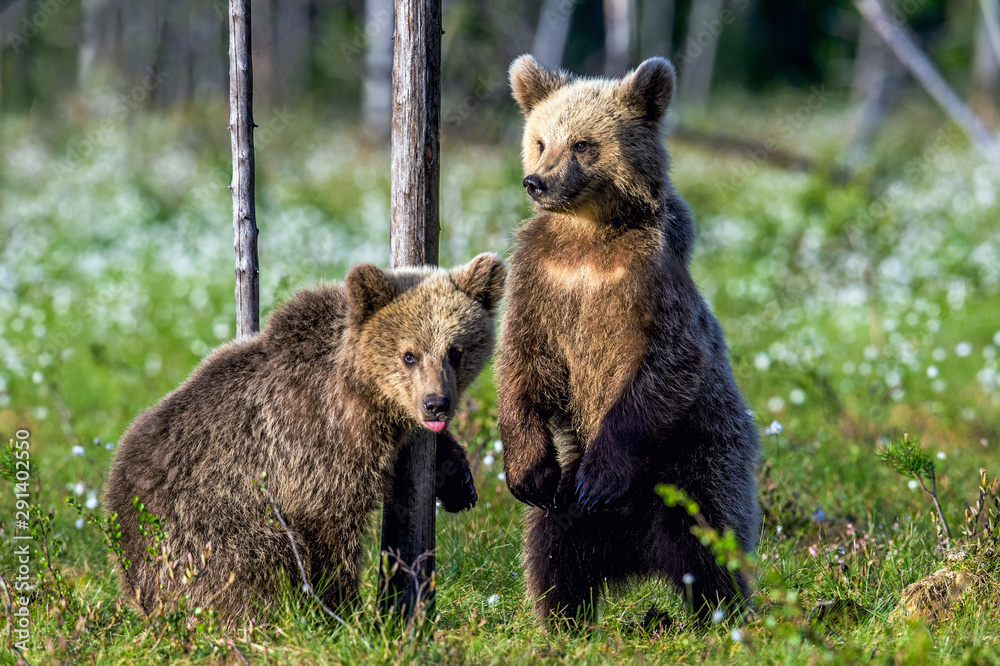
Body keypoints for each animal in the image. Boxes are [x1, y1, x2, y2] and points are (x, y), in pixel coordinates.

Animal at [104, 253, 506, 621]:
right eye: (409, 355)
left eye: (456, 351)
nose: (436, 404)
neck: (360, 395)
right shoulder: (313, 444)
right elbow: (332, 533)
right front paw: (346, 612)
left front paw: (458, 481)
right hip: (202, 531)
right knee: (256, 563)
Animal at [496, 55, 761, 627]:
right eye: (540, 140)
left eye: (583, 143)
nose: (536, 182)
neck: (589, 239)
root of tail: (637, 556)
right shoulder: (539, 279)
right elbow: (524, 361)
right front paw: (526, 471)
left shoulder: (648, 284)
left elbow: (665, 365)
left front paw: (601, 474)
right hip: (573, 505)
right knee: (553, 550)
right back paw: (565, 620)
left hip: (697, 461)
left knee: (707, 540)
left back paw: (717, 615)